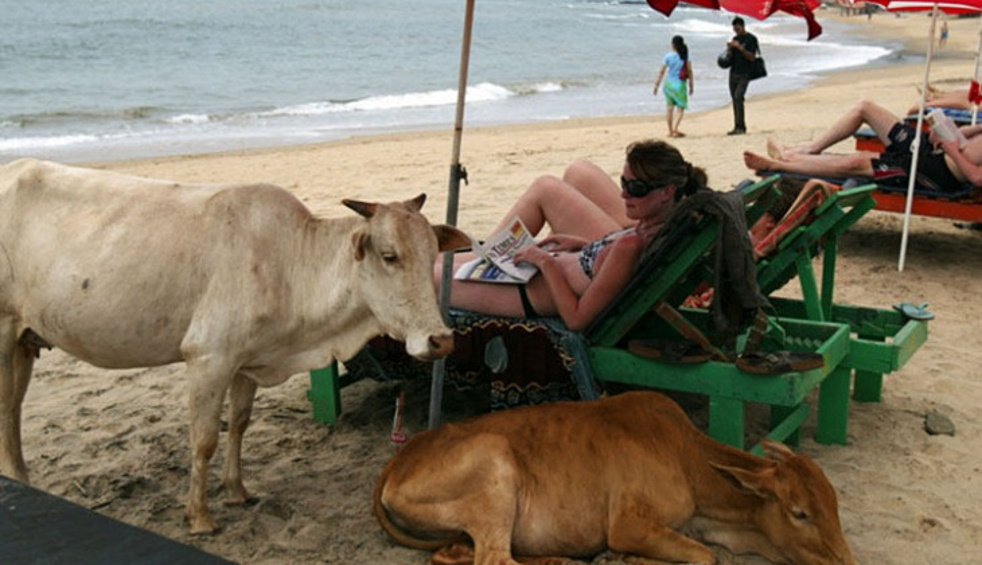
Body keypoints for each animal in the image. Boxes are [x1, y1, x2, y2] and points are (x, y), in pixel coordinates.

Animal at [0, 158, 472, 532]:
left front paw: (237, 490)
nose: (441, 339)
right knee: (7, 409)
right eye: (389, 256)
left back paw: (22, 478)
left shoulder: (249, 361)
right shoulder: (208, 356)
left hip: (23, 340)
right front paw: (200, 516)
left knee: (14, 409)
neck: (291, 263)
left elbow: (241, 423)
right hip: (4, 332)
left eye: (433, 252)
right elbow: (204, 438)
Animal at [372, 390, 856, 560]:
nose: (846, 562)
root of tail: (399, 460)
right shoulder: (627, 523)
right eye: (799, 512)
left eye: (835, 505)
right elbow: (705, 557)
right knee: (496, 560)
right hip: (496, 467)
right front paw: (623, 559)